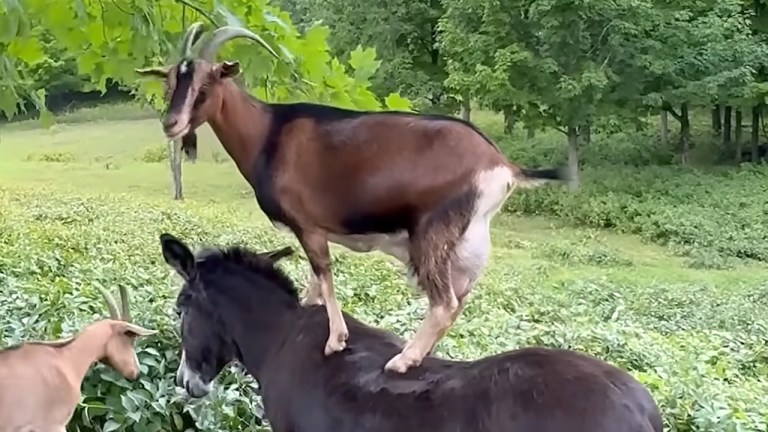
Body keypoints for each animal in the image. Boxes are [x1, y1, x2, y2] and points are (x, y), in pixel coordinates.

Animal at [137, 22, 570, 373]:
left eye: (206, 84)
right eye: (170, 81)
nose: (171, 123)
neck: (269, 134)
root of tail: (503, 165)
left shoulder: (308, 224)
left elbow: (324, 274)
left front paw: (335, 340)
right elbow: (315, 282)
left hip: (432, 231)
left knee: (445, 302)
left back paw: (403, 361)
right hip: (469, 240)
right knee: (461, 297)